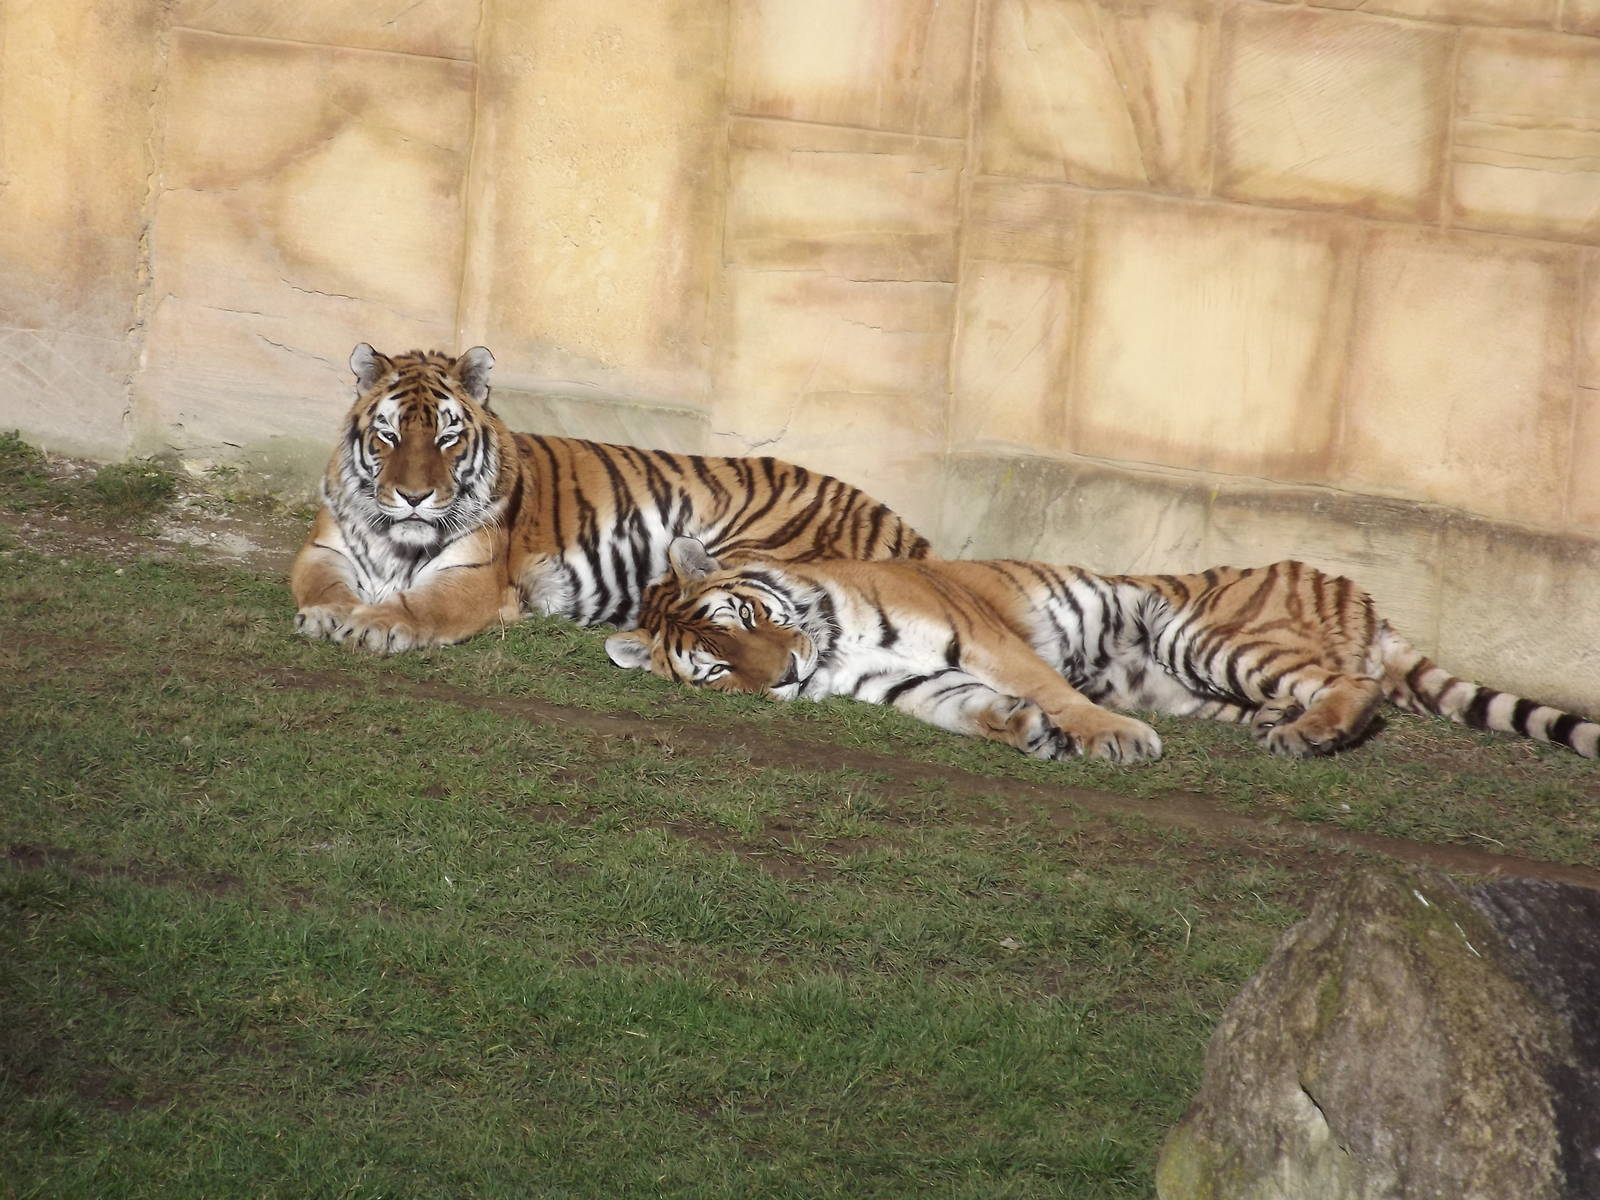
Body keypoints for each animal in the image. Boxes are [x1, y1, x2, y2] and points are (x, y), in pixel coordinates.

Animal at [290, 345, 931, 652]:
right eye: (389, 435)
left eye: (448, 438)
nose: (415, 497)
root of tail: (902, 525)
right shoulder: (324, 552)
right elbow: (322, 588)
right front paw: (328, 615)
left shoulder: (472, 578)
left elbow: (419, 606)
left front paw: (375, 625)